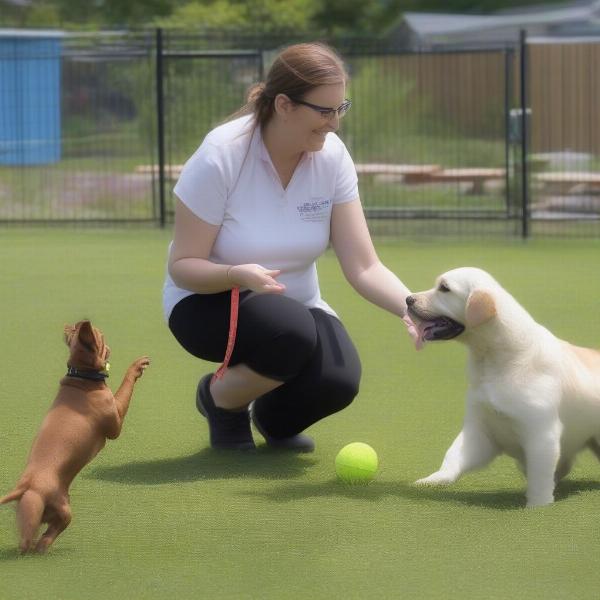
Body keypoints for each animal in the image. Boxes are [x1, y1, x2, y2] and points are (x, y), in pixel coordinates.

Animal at [0, 322, 149, 552]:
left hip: (31, 511)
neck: (81, 377)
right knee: (47, 534)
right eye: (101, 335)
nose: (71, 325)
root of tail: (25, 486)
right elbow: (125, 388)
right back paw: (44, 545)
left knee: (33, 536)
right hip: (59, 509)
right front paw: (136, 367)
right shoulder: (115, 422)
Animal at [406, 268, 600, 506]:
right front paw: (434, 480)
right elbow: (453, 457)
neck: (495, 360)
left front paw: (537, 506)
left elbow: (539, 479)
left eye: (444, 288)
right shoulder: (479, 429)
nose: (408, 299)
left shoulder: (541, 434)